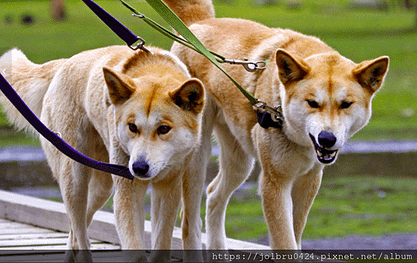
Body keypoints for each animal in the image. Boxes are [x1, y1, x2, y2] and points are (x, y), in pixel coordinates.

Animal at [0, 46, 205, 262]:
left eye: (164, 129)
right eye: (132, 127)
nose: (139, 167)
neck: (154, 68)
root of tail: (64, 63)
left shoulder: (168, 189)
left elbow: (161, 243)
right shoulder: (127, 193)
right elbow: (135, 248)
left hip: (102, 187)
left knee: (74, 230)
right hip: (75, 180)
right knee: (79, 235)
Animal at [161, 0, 388, 252]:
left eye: (346, 104)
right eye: (312, 103)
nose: (326, 139)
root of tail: (200, 22)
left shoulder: (308, 181)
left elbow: (295, 235)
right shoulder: (275, 184)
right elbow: (285, 241)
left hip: (240, 160)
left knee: (214, 194)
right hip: (197, 160)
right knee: (189, 222)